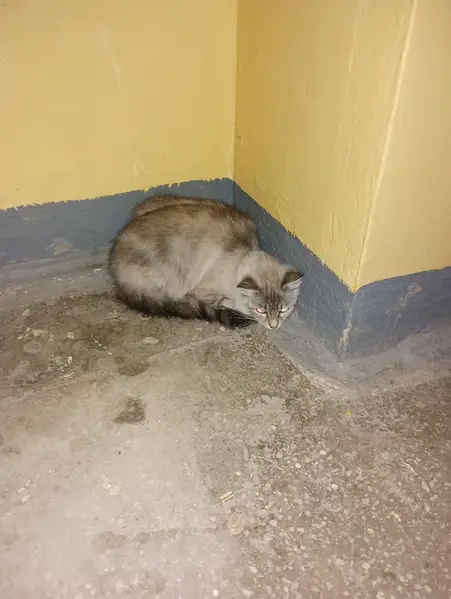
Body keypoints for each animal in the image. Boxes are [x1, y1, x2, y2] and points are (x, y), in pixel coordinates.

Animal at [108, 195, 303, 329]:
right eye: (261, 310)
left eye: (284, 310)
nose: (274, 326)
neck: (244, 250)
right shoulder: (203, 292)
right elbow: (229, 302)